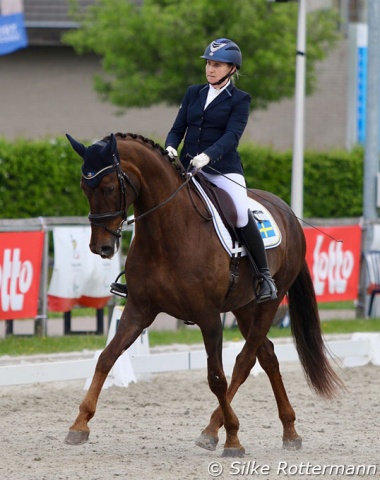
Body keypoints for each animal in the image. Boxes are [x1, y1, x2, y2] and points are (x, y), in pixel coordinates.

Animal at [63, 132, 342, 458]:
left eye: (108, 187)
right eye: (84, 187)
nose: (101, 247)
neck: (167, 230)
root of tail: (288, 213)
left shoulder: (208, 317)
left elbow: (216, 378)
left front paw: (233, 439)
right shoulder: (139, 309)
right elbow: (106, 358)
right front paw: (79, 425)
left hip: (271, 302)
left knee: (245, 361)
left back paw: (216, 430)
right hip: (244, 307)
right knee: (267, 356)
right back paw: (287, 431)